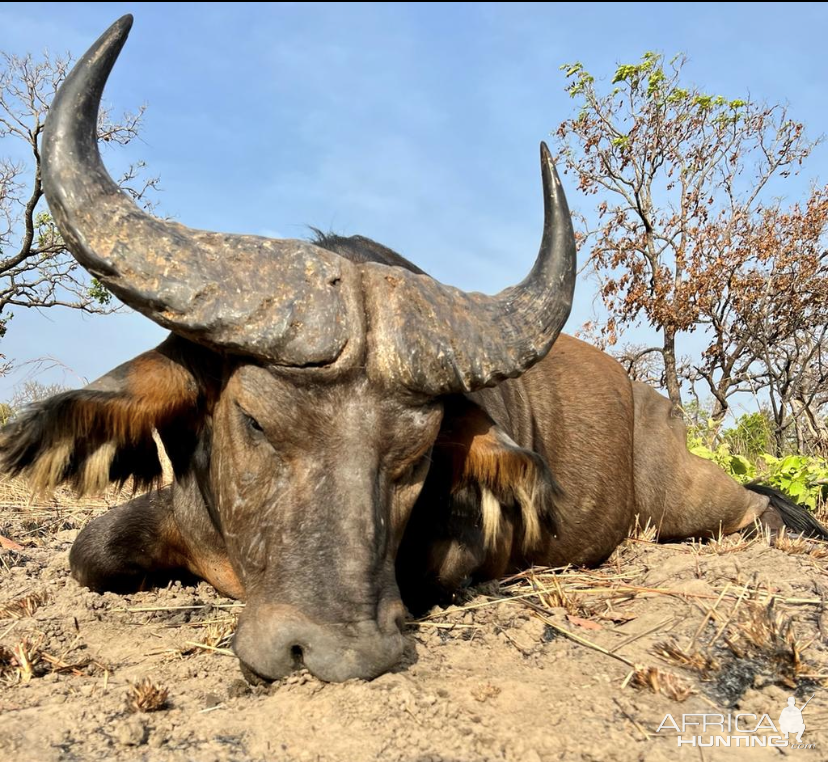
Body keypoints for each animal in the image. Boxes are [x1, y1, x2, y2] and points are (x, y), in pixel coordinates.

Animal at [3, 16, 824, 684]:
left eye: (416, 455)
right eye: (256, 422)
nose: (336, 651)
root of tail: (649, 403)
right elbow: (88, 549)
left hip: (691, 501)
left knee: (756, 508)